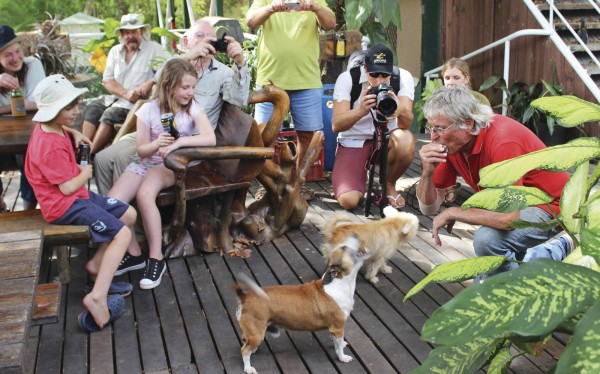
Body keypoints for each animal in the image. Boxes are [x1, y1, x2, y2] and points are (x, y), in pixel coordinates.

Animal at [233, 237, 366, 374]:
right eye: (344, 249)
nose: (355, 237)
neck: (338, 282)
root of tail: (244, 297)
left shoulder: (334, 329)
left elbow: (336, 342)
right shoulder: (338, 327)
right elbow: (338, 348)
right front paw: (343, 358)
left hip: (253, 332)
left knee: (245, 341)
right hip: (256, 333)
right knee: (244, 350)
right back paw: (248, 368)